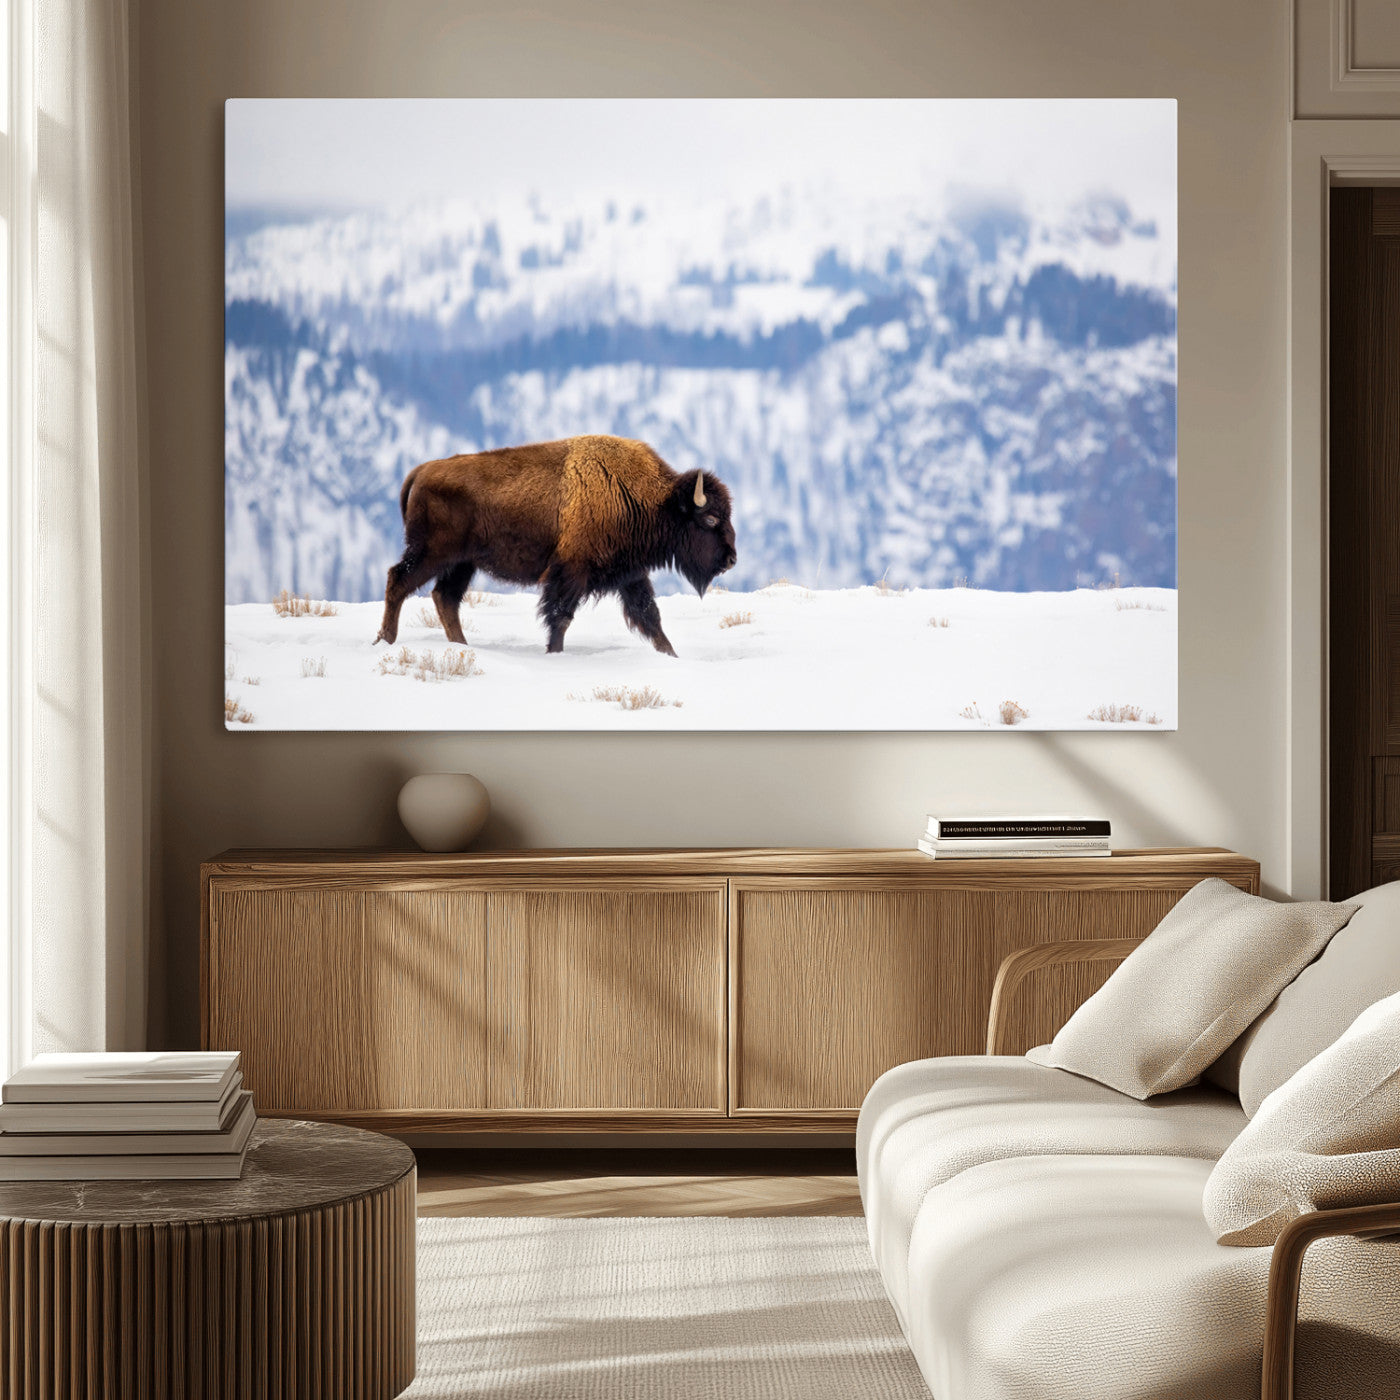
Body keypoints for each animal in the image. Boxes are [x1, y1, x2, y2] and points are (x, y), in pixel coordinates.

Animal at [375, 435, 737, 656]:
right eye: (710, 520)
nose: (731, 559)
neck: (648, 498)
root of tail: (422, 470)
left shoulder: (631, 575)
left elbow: (650, 617)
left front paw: (672, 655)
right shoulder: (570, 574)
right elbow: (560, 616)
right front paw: (554, 653)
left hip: (462, 563)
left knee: (444, 597)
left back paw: (463, 647)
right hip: (432, 553)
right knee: (399, 580)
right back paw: (385, 640)